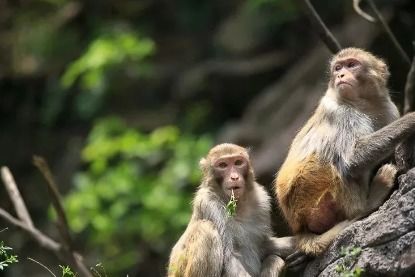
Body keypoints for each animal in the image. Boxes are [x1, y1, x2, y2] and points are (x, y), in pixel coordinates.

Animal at [167, 143, 294, 276]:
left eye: (238, 162)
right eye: (223, 165)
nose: (234, 177)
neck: (238, 205)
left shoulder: (262, 201)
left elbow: (264, 245)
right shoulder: (210, 204)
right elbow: (230, 256)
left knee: (274, 259)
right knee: (205, 228)